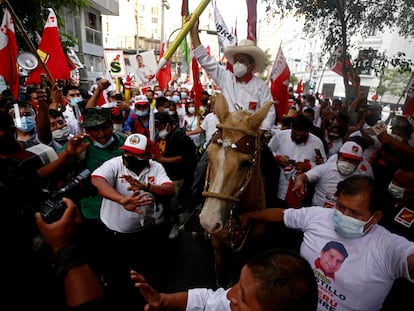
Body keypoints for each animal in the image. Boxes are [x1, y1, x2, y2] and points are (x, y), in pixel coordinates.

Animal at [199, 94, 274, 288]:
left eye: (246, 163)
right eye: (209, 154)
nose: (209, 221)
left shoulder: (245, 249)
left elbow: (234, 271)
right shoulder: (217, 242)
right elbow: (219, 269)